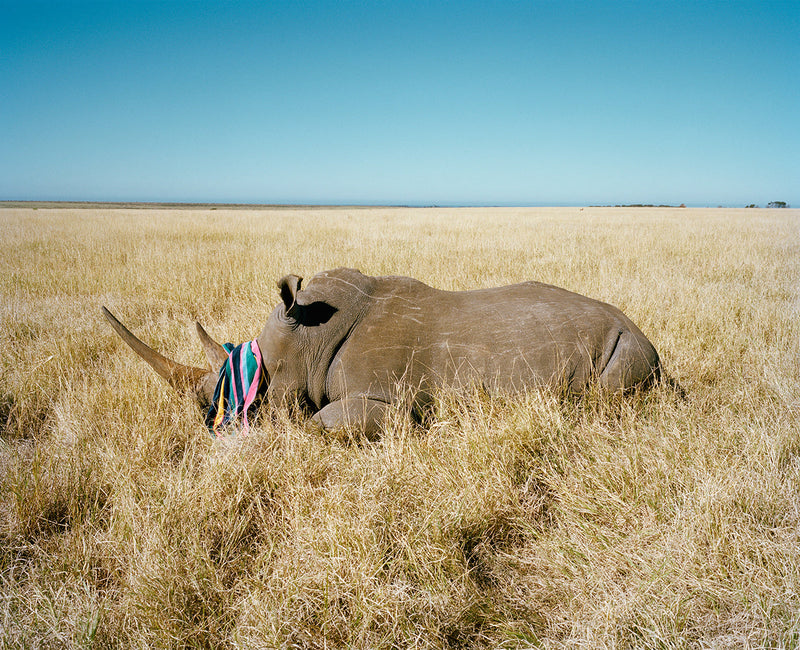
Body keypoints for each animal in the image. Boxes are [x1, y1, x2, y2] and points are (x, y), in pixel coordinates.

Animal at [101, 266, 664, 438]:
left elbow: (319, 422)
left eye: (254, 395)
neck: (309, 338)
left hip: (626, 345)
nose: (208, 425)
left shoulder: (393, 404)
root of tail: (642, 333)